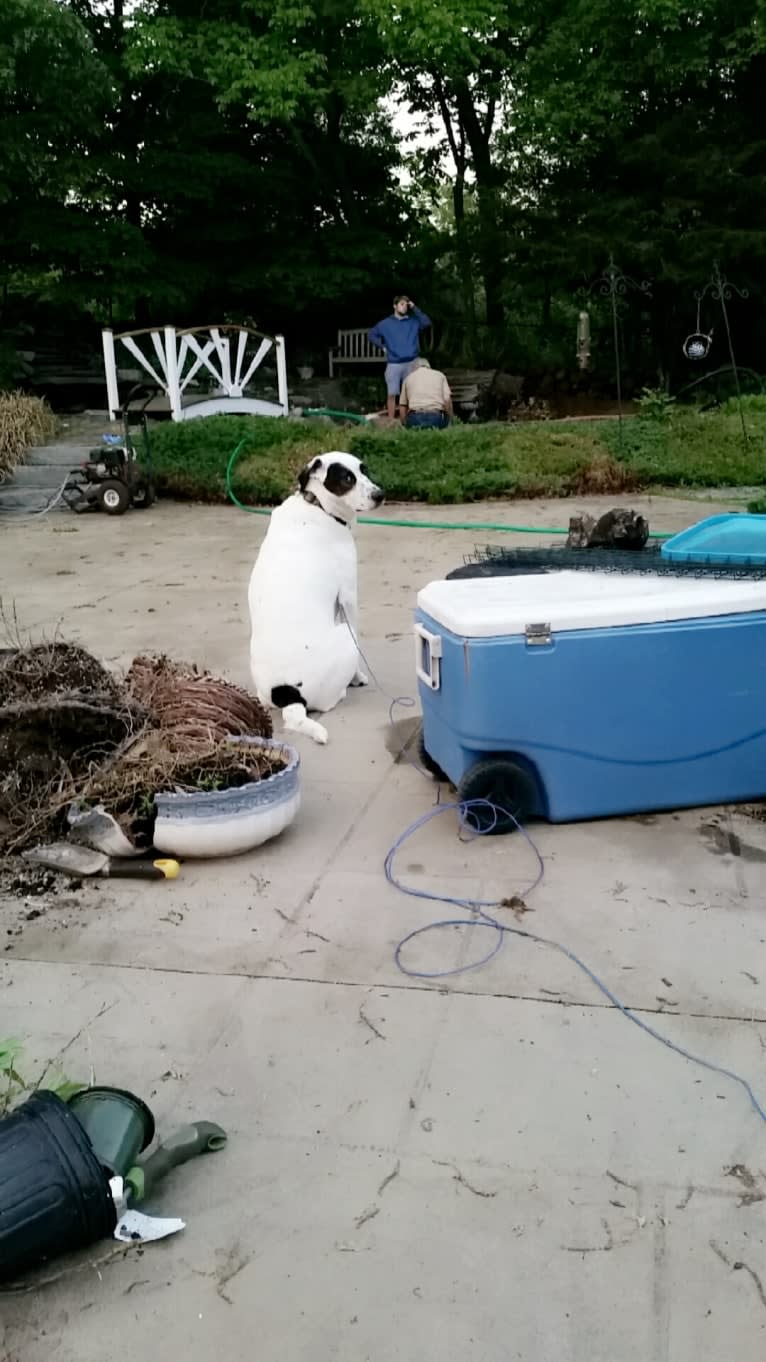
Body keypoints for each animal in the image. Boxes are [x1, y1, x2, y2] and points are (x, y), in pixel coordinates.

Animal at [248, 449, 381, 746]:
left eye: (364, 469)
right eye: (347, 478)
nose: (380, 494)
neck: (317, 505)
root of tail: (287, 694)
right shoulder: (348, 597)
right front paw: (357, 676)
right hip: (343, 634)